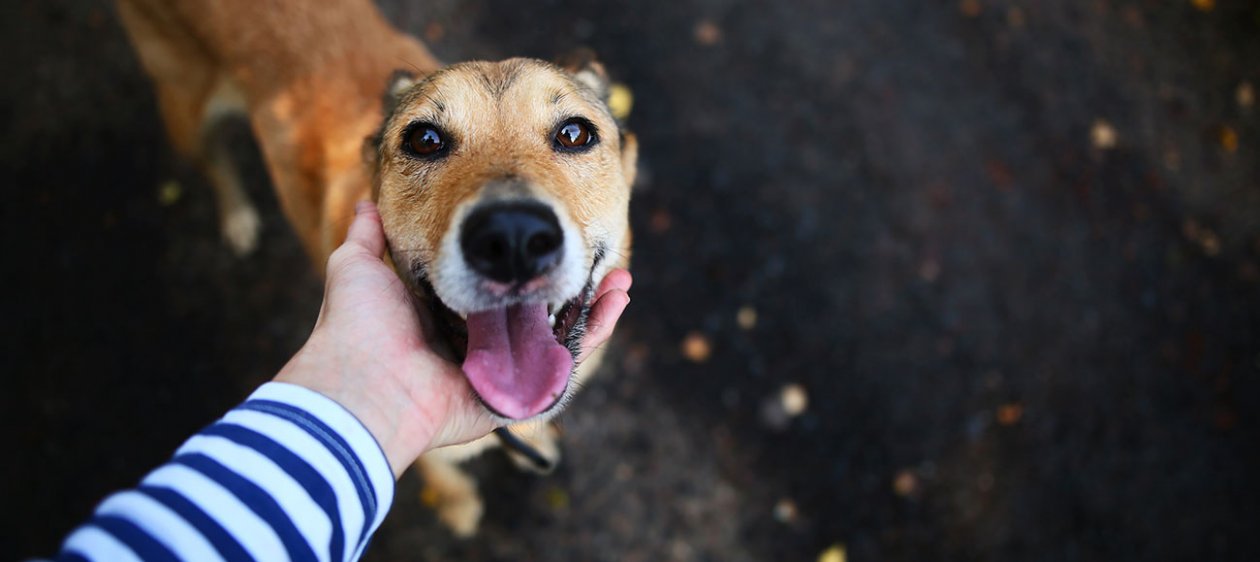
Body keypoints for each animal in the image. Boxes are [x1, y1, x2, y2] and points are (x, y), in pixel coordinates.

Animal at [115, 0, 640, 536]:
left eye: (574, 133)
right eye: (424, 139)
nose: (512, 239)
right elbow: (442, 477)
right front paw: (458, 505)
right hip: (184, 109)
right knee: (214, 162)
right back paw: (237, 215)